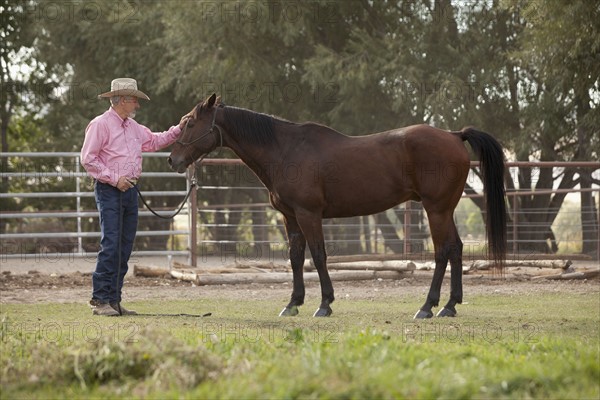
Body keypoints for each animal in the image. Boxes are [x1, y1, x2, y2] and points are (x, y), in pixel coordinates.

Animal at [168, 94, 506, 318]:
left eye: (189, 123)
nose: (173, 160)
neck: (285, 150)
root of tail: (454, 135)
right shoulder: (291, 217)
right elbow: (295, 258)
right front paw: (293, 303)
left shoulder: (309, 214)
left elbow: (318, 256)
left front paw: (324, 304)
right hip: (445, 210)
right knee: (456, 249)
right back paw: (450, 305)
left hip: (436, 210)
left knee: (442, 252)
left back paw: (427, 307)